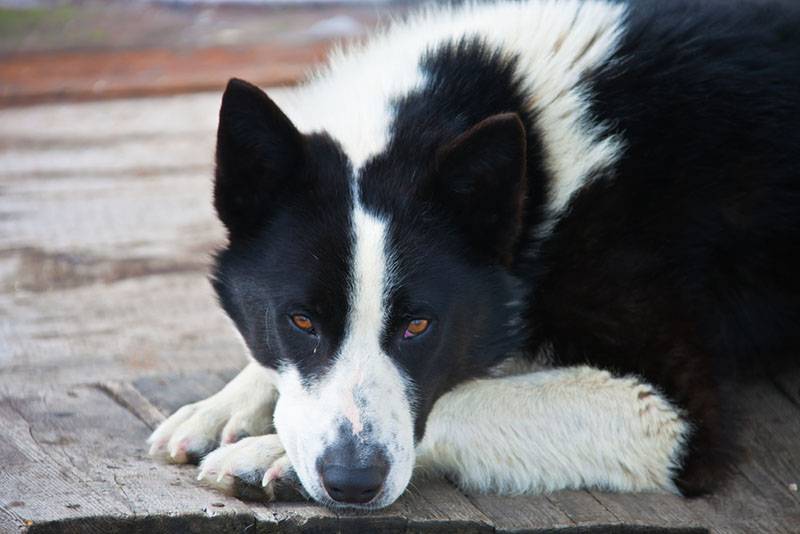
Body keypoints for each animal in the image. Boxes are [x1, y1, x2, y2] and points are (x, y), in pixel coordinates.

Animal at [148, 0, 800, 510]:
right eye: (300, 321)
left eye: (419, 326)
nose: (352, 483)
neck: (545, 157)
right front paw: (225, 406)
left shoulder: (676, 413)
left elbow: (460, 398)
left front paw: (269, 453)